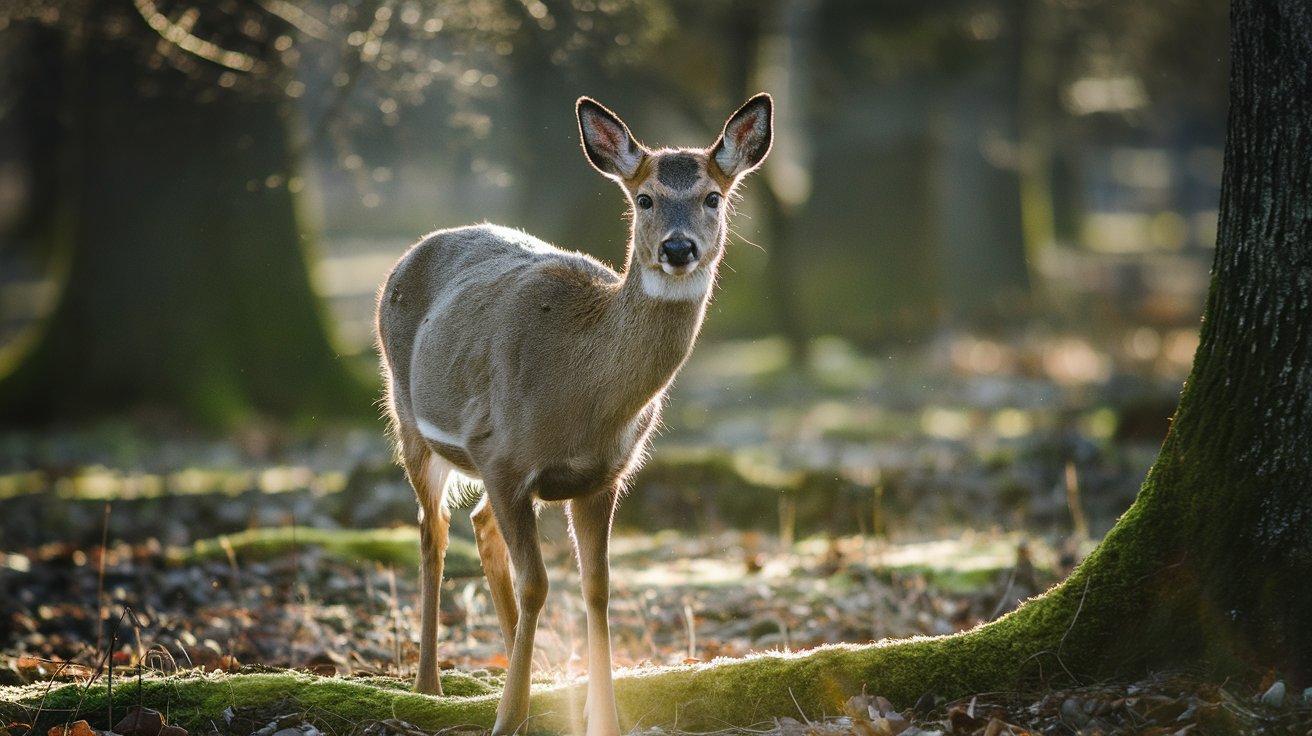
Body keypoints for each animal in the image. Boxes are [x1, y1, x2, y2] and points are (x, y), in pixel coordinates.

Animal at [375, 93, 771, 734]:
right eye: (644, 198)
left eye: (713, 196)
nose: (678, 248)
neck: (580, 398)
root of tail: (410, 252)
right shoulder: (502, 453)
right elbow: (537, 583)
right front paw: (507, 718)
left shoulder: (602, 476)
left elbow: (597, 586)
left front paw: (601, 717)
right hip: (408, 418)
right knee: (432, 532)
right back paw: (429, 684)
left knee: (478, 524)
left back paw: (530, 672)